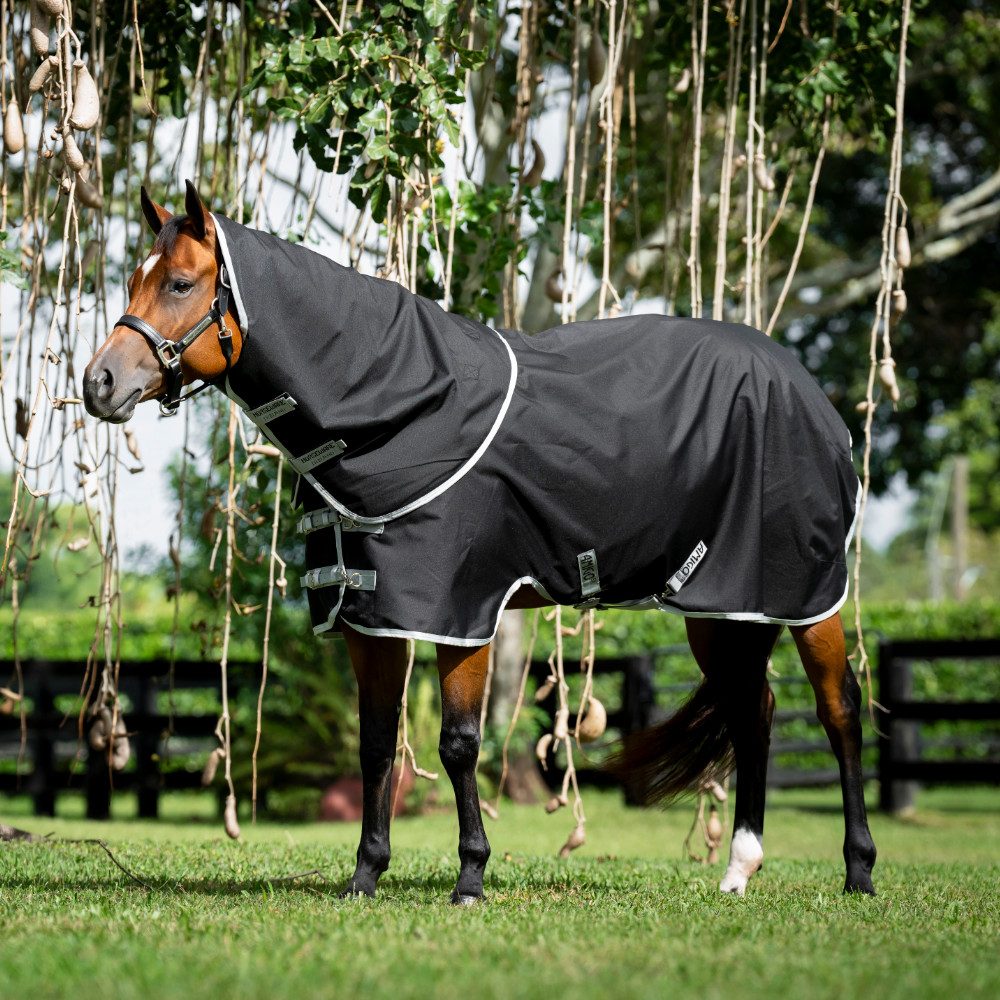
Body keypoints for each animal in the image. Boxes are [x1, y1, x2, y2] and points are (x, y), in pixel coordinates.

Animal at [82, 182, 877, 902]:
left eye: (181, 282)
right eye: (134, 280)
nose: (100, 382)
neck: (401, 406)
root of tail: (805, 387)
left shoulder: (460, 613)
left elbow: (458, 744)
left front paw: (470, 877)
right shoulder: (373, 619)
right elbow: (377, 744)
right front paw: (365, 875)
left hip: (807, 596)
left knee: (838, 710)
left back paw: (859, 871)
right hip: (723, 606)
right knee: (753, 712)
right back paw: (740, 869)